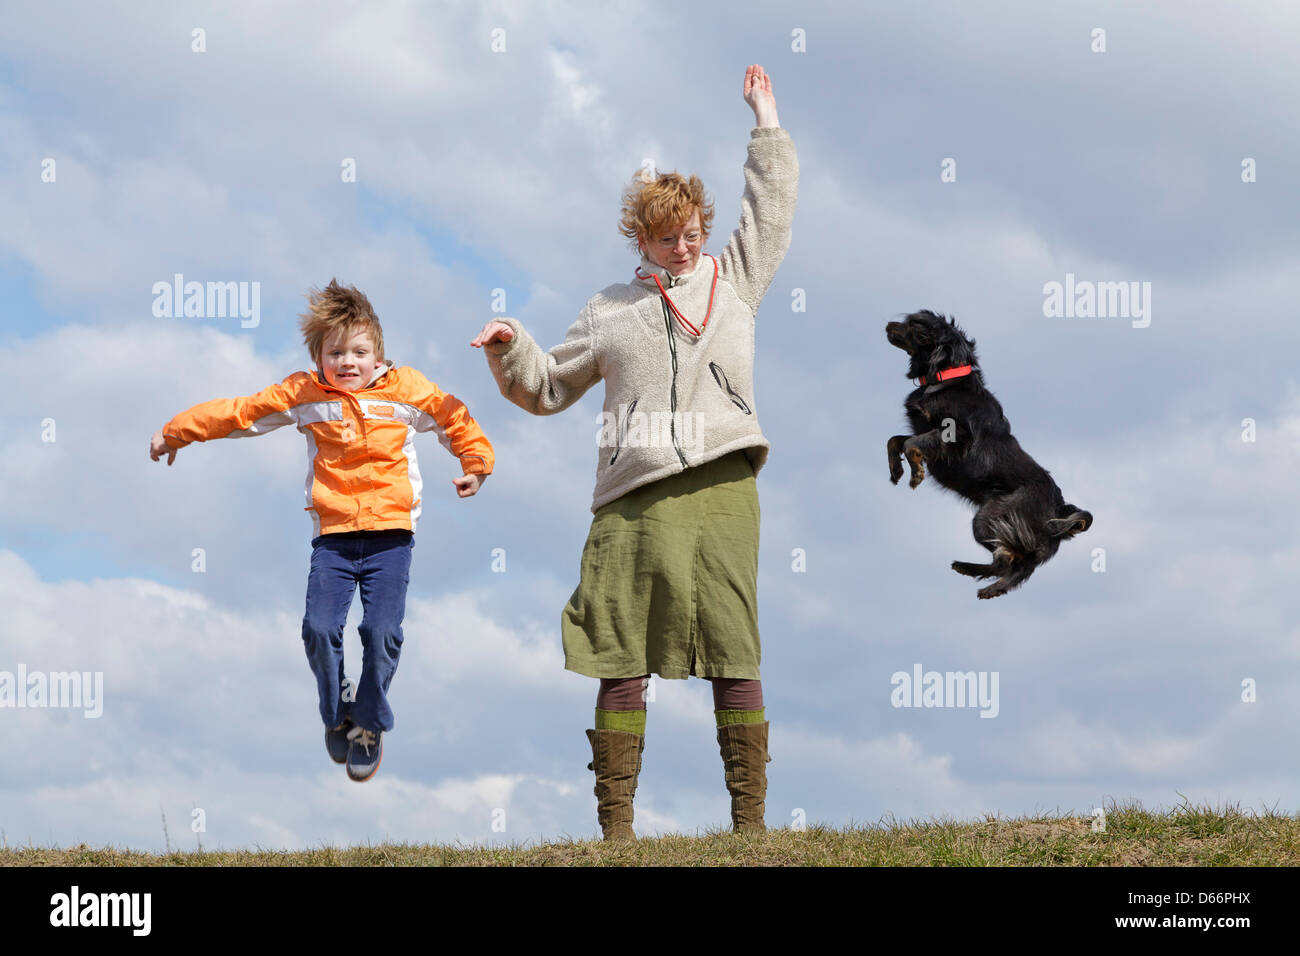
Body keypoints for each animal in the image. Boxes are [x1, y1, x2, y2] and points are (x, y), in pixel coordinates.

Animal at [889, 310, 1092, 598]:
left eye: (916, 326)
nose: (888, 326)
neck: (945, 378)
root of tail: (1060, 508)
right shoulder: (925, 431)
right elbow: (895, 440)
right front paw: (896, 469)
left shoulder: (957, 433)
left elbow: (911, 444)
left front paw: (915, 473)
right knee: (1017, 565)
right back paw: (982, 580)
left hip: (988, 519)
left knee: (1010, 562)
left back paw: (980, 578)